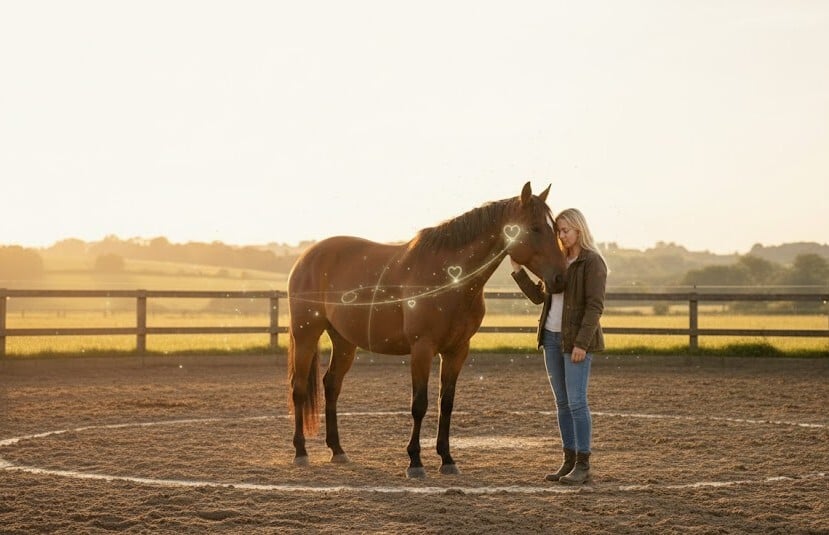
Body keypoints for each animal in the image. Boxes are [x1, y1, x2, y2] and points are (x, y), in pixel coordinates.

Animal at [287, 182, 568, 478]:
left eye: (555, 228)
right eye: (535, 228)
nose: (561, 278)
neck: (449, 279)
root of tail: (306, 257)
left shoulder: (457, 351)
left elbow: (447, 404)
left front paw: (447, 459)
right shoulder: (422, 349)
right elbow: (419, 404)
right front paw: (415, 462)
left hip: (343, 341)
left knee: (332, 385)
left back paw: (338, 450)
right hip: (305, 335)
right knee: (299, 389)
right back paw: (301, 452)